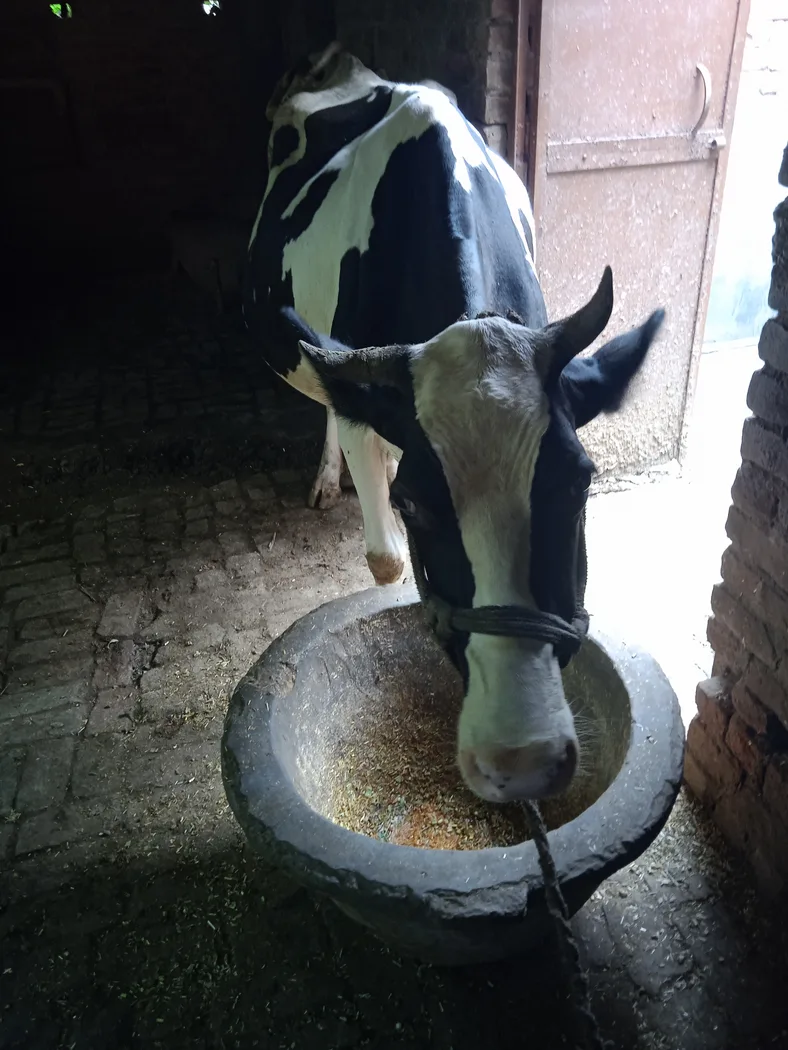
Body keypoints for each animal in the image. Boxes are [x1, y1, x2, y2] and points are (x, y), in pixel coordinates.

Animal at [243, 43, 665, 803]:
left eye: (581, 481)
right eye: (414, 504)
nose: (520, 760)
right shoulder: (370, 408)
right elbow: (386, 561)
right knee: (328, 399)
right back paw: (326, 478)